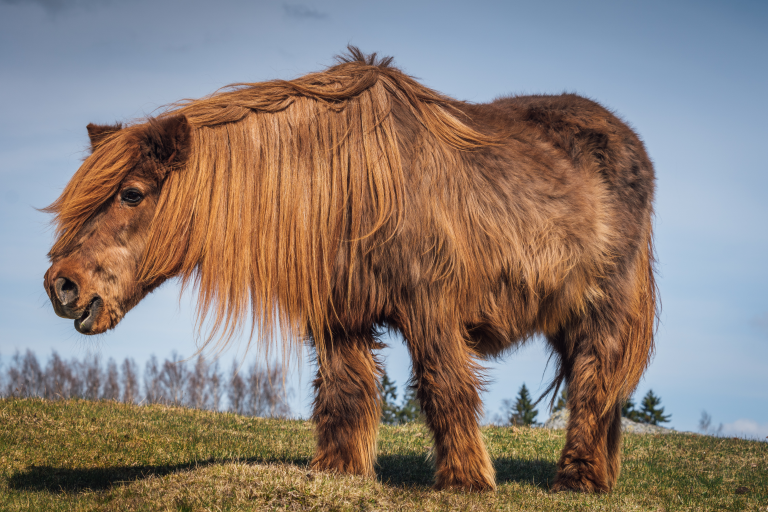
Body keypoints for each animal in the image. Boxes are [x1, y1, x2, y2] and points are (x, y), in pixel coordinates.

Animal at [43, 48, 657, 492]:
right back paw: (599, 477)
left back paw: (577, 479)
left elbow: (444, 385)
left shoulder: (430, 307)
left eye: (131, 193)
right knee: (603, 392)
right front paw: (338, 472)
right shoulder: (340, 316)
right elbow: (345, 391)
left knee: (593, 382)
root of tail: (631, 144)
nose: (62, 286)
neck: (343, 186)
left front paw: (466, 481)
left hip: (603, 308)